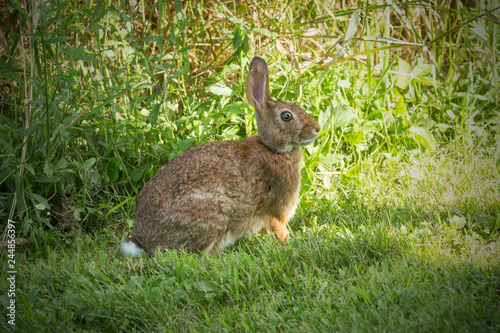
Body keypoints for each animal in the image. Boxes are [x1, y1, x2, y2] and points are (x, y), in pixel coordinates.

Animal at [123, 56, 322, 254]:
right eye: (287, 116)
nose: (317, 129)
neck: (271, 148)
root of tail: (142, 240)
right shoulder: (276, 210)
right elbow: (280, 229)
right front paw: (289, 241)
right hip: (211, 217)